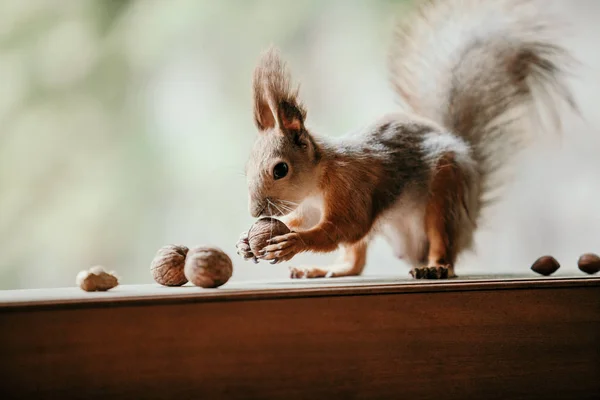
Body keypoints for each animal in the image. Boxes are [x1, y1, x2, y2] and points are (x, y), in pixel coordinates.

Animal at [233, 0, 576, 280]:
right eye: (246, 168)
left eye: (280, 169)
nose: (254, 212)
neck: (318, 181)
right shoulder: (308, 207)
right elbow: (308, 222)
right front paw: (247, 241)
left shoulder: (352, 189)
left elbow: (346, 226)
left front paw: (293, 242)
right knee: (356, 262)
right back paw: (326, 270)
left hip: (446, 193)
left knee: (442, 243)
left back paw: (436, 267)